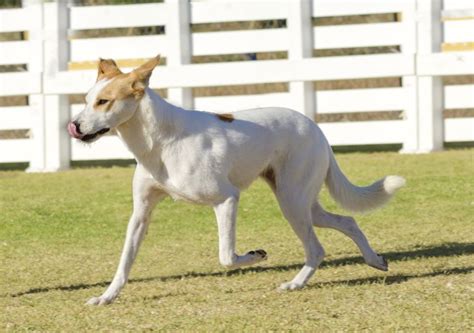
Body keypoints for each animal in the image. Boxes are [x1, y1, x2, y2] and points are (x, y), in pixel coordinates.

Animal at [68, 55, 406, 304]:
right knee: (347, 221)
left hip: (291, 201)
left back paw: (295, 284)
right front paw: (106, 297)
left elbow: (226, 256)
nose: (74, 125)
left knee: (316, 248)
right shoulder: (141, 213)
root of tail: (315, 127)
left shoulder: (227, 199)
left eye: (104, 102)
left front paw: (256, 256)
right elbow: (125, 261)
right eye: (86, 99)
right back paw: (374, 260)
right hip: (303, 203)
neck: (160, 141)